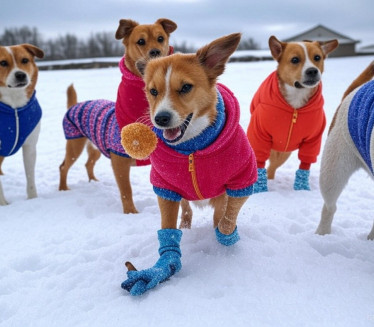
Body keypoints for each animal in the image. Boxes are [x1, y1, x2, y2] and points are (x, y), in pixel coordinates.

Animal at [0, 44, 44, 205]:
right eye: (3, 63)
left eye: (24, 60)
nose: (20, 75)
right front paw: (3, 204)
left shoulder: (30, 145)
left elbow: (30, 176)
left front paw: (33, 199)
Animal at [58, 18, 178, 214]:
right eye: (141, 41)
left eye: (161, 38)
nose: (156, 52)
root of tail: (74, 105)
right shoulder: (119, 161)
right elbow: (126, 190)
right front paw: (130, 213)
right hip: (75, 144)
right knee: (63, 167)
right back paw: (63, 189)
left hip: (95, 147)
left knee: (88, 163)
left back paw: (93, 181)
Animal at [121, 33, 258, 298]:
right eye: (153, 91)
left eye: (185, 87)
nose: (161, 118)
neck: (193, 147)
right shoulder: (165, 187)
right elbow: (167, 230)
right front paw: (164, 264)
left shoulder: (243, 179)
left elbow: (227, 220)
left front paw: (226, 238)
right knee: (186, 211)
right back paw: (186, 226)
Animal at [247, 36, 338, 193]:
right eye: (295, 60)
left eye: (317, 57)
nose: (312, 71)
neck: (296, 99)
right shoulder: (259, 136)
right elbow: (259, 161)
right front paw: (260, 190)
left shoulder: (313, 140)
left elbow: (305, 163)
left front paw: (302, 188)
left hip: (284, 152)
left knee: (272, 167)